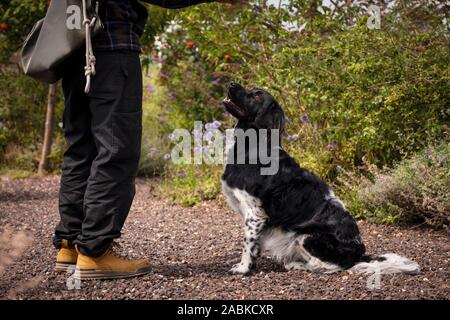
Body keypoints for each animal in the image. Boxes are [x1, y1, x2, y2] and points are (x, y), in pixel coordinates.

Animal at [221, 82, 418, 276]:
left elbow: (248, 244)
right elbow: (255, 245)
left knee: (328, 266)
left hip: (306, 236)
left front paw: (243, 268)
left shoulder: (254, 213)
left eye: (256, 95)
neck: (252, 147)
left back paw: (297, 265)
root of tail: (359, 253)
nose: (231, 83)